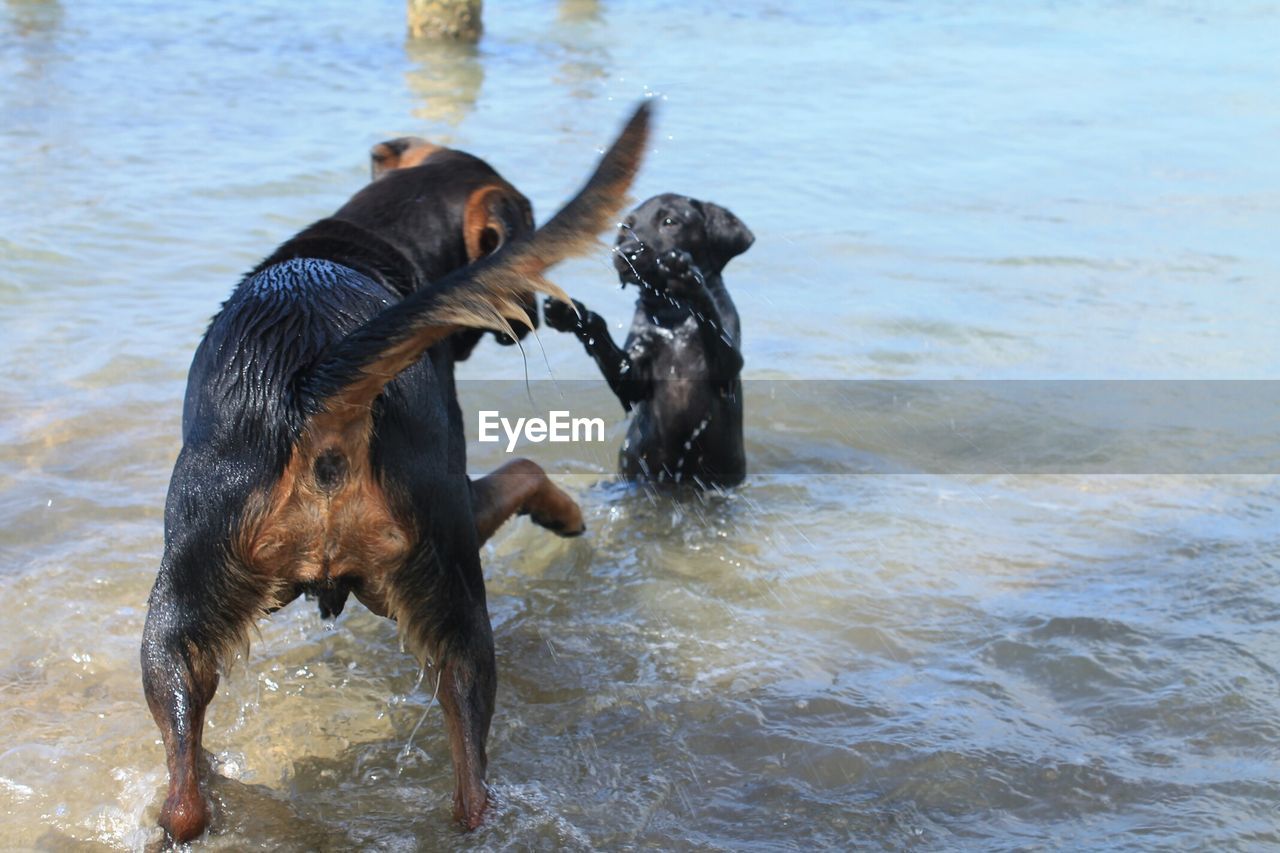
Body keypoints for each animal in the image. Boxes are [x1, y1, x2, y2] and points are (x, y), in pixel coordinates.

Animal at [142, 103, 650, 840]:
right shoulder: (457, 501)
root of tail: (312, 387)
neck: (374, 241)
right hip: (456, 604)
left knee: (183, 792)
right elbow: (526, 468)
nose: (531, 316)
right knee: (471, 788)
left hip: (175, 620)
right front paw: (567, 513)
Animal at [542, 192, 747, 484]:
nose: (626, 252)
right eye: (626, 228)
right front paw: (574, 315)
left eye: (669, 221)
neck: (673, 316)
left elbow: (709, 311)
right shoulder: (632, 377)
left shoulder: (727, 368)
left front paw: (689, 279)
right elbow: (607, 348)